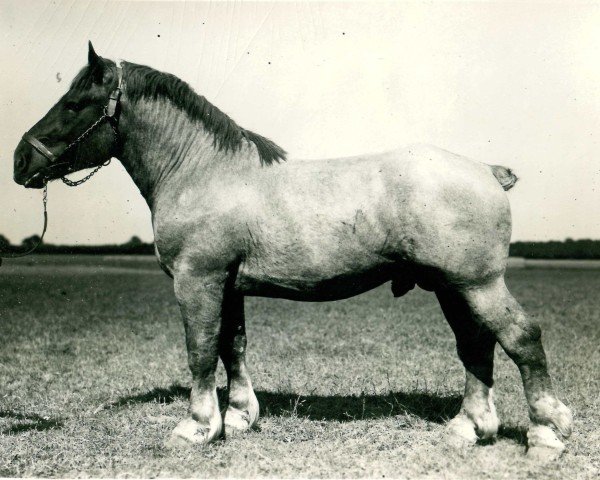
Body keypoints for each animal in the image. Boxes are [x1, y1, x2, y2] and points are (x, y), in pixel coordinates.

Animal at [12, 43, 572, 460]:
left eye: (73, 104)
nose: (19, 160)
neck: (202, 171)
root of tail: (486, 170)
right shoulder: (228, 285)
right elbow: (232, 346)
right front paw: (239, 417)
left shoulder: (198, 281)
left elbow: (200, 350)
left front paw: (196, 427)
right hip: (451, 287)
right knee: (475, 346)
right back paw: (468, 428)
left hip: (477, 284)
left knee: (521, 339)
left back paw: (546, 434)